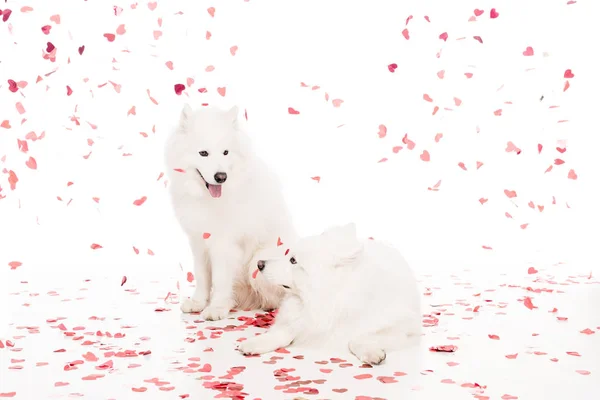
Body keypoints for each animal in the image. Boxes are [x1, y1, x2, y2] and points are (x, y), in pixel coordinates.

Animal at [163, 104, 296, 320]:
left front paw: (216, 308)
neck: (208, 199)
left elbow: (220, 280)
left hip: (258, 261)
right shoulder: (198, 242)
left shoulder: (224, 245)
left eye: (225, 152)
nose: (221, 177)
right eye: (203, 153)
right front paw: (198, 303)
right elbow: (202, 275)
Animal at [238, 223, 422, 364]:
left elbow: (357, 337)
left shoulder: (402, 329)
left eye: (293, 260)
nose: (259, 263)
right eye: (287, 254)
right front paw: (257, 343)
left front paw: (371, 352)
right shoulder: (300, 319)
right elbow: (282, 332)